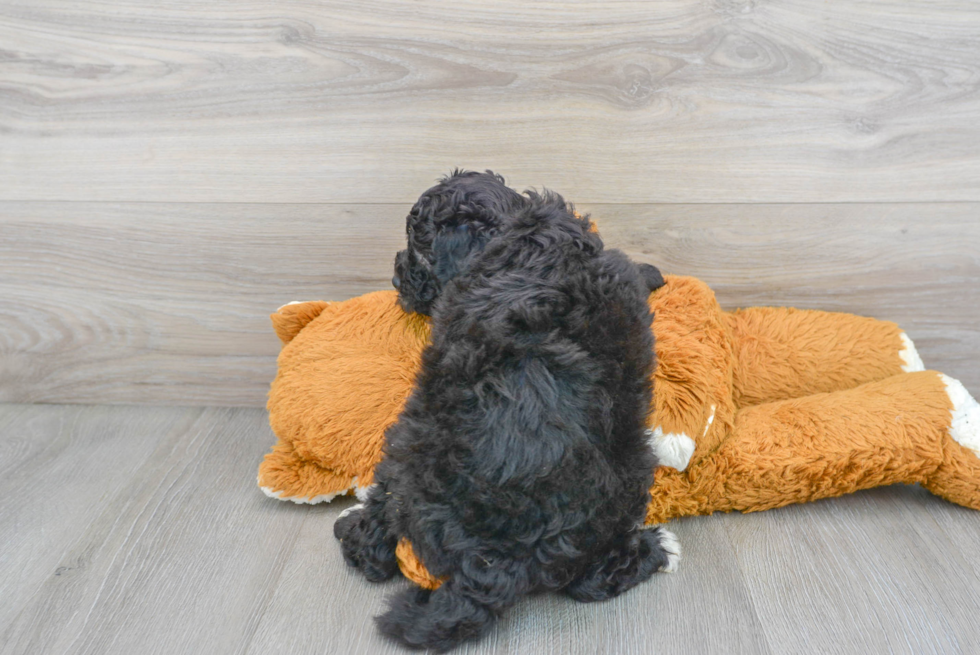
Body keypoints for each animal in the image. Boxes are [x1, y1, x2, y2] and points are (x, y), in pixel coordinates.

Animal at [334, 169, 676, 652]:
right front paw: (653, 272)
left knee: (377, 532)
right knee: (592, 581)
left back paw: (355, 531)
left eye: (415, 248)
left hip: (405, 445)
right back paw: (653, 548)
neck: (511, 231)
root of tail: (491, 563)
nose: (397, 276)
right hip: (629, 472)